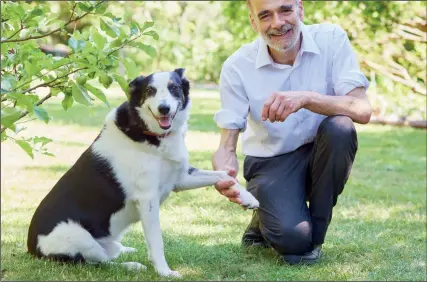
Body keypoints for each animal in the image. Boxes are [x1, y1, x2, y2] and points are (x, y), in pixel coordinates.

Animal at [27, 69, 260, 278]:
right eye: (150, 90)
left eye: (174, 88)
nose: (164, 108)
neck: (151, 132)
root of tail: (31, 247)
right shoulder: (147, 198)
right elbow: (157, 240)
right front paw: (164, 272)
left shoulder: (180, 178)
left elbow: (224, 175)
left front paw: (246, 197)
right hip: (77, 237)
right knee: (97, 262)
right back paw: (131, 266)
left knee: (108, 254)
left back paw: (124, 250)